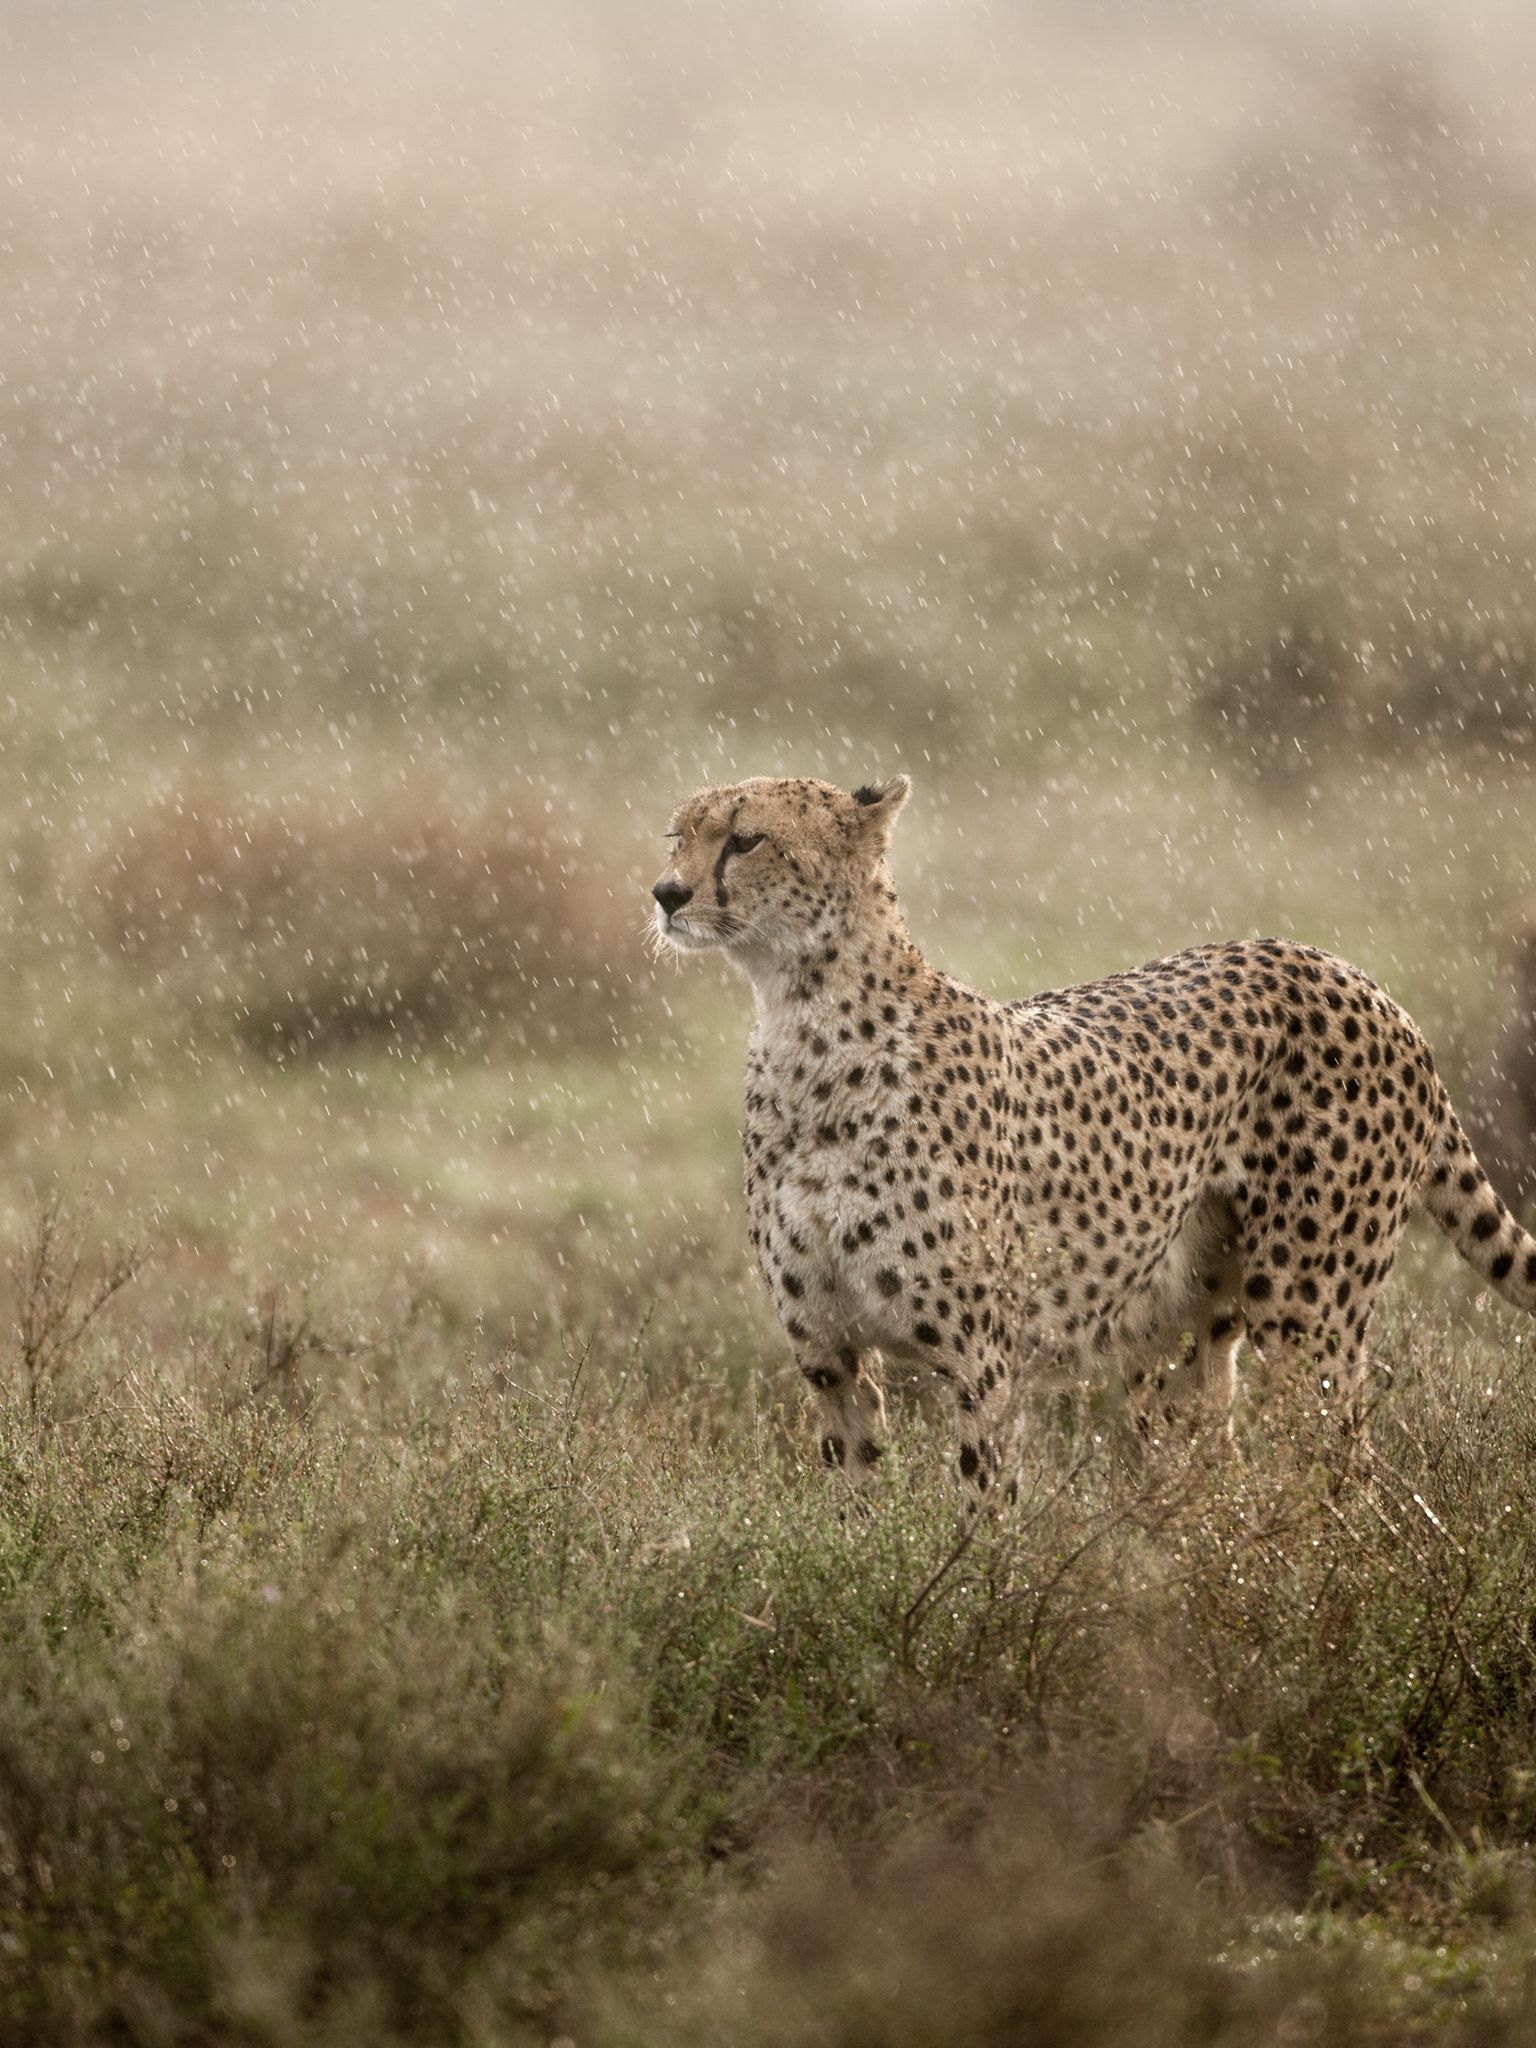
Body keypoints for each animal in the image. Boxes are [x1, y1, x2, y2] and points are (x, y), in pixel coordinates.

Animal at [650, 772, 1536, 1491]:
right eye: (677, 835)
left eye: (745, 838)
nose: (665, 893)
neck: (802, 1022)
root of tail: (1353, 974)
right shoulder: (830, 1361)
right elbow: (855, 1512)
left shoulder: (984, 1364)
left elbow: (982, 1515)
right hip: (1174, 1341)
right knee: (1215, 1478)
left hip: (1306, 1312)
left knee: (1343, 1474)